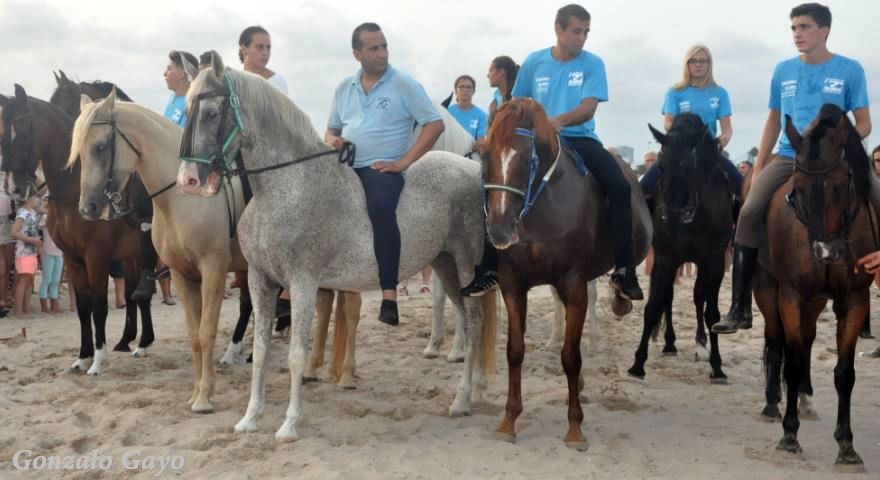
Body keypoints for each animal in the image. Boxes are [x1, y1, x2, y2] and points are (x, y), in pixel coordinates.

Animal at [179, 53, 496, 442]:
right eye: (186, 110)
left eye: (211, 113)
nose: (188, 180)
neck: (286, 188)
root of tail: (472, 170)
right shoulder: (259, 280)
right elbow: (262, 350)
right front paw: (250, 418)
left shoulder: (302, 282)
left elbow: (296, 355)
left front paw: (289, 424)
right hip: (445, 265)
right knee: (467, 320)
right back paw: (471, 391)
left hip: (466, 264)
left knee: (477, 322)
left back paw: (462, 400)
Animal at [482, 99, 652, 452]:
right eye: (484, 155)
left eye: (526, 159)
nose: (500, 229)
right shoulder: (513, 285)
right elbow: (515, 351)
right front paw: (508, 421)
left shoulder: (574, 285)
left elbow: (571, 357)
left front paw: (575, 429)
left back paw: (623, 295)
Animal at [628, 112, 732, 382]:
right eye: (661, 167)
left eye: (689, 167)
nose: (672, 217)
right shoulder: (666, 258)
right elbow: (654, 306)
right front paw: (638, 364)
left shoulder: (714, 262)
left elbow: (712, 313)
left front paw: (717, 367)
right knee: (670, 297)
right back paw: (670, 343)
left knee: (699, 297)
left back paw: (701, 344)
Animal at [756, 105, 872, 468]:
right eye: (799, 188)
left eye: (841, 185)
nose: (825, 252)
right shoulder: (790, 296)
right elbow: (791, 362)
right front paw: (789, 435)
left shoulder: (854, 300)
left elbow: (844, 373)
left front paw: (846, 445)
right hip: (768, 292)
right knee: (776, 340)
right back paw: (772, 403)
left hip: (816, 301)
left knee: (806, 339)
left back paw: (805, 400)